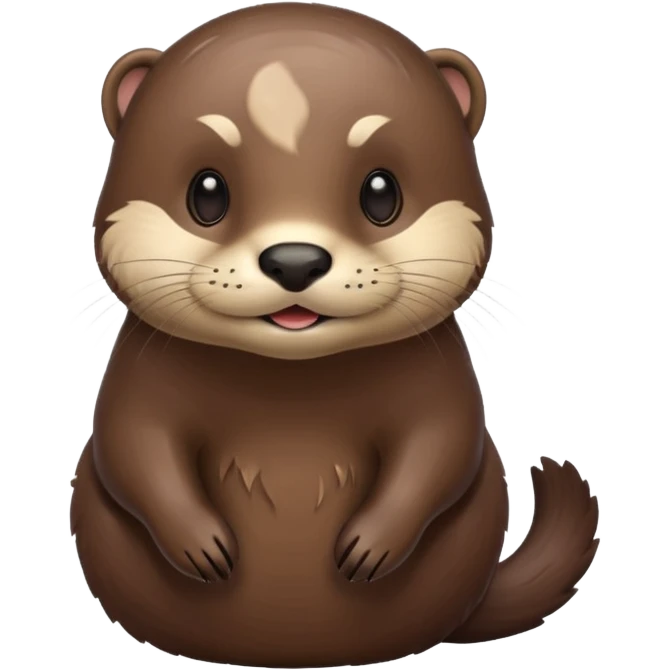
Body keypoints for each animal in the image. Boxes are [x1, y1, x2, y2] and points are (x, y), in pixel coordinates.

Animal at [70, 3, 600, 667]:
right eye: (206, 192)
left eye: (381, 192)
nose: (295, 260)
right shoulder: (140, 372)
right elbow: (134, 446)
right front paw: (201, 544)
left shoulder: (439, 374)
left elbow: (442, 446)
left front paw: (370, 545)